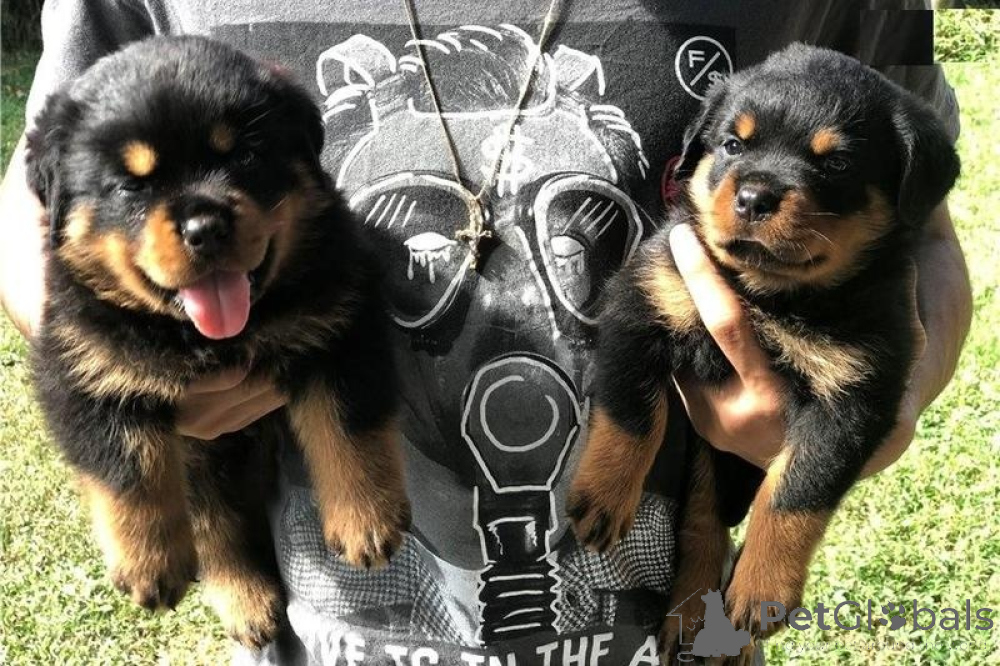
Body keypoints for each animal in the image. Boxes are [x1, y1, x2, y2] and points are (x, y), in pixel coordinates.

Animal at [26, 36, 410, 648]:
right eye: (132, 185)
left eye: (245, 158)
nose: (205, 227)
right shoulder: (85, 367)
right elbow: (128, 466)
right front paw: (148, 563)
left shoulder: (342, 324)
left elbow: (350, 429)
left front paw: (366, 520)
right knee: (213, 527)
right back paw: (244, 600)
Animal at [567, 44, 959, 663]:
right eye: (733, 144)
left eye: (837, 164)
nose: (754, 196)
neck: (768, 295)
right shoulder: (643, 302)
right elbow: (632, 417)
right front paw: (603, 496)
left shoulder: (854, 396)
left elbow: (796, 490)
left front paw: (763, 588)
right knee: (700, 522)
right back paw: (689, 613)